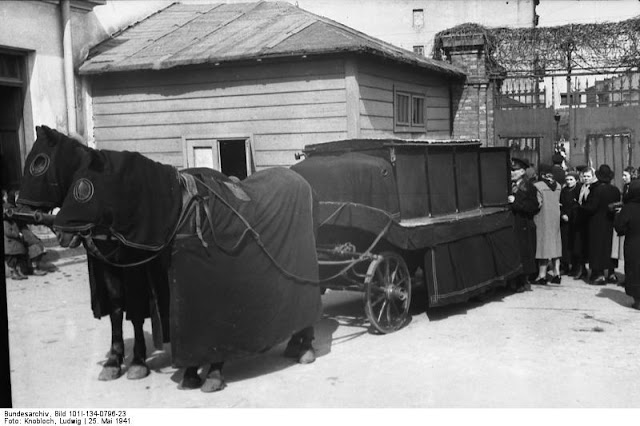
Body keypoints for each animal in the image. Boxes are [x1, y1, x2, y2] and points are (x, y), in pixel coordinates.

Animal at [17, 125, 322, 392]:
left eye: (39, 163)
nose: (19, 211)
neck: (175, 209)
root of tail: (300, 180)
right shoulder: (115, 269)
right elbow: (119, 309)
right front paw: (116, 361)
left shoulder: (143, 272)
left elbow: (142, 313)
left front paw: (143, 363)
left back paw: (304, 346)